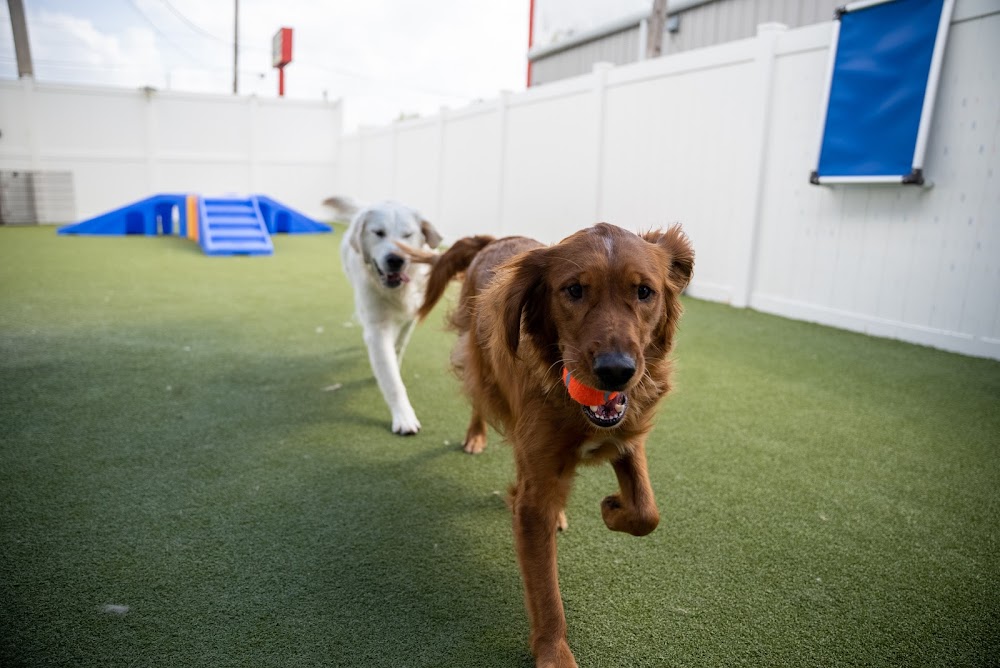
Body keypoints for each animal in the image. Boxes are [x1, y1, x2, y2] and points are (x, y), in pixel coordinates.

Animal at [324, 196, 442, 436]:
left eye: (407, 235)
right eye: (378, 232)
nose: (396, 259)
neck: (396, 291)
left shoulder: (411, 317)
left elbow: (398, 346)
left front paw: (395, 358)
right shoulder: (378, 329)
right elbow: (392, 380)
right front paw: (404, 416)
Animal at [418, 224, 692, 668]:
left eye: (644, 292)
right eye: (574, 290)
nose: (616, 371)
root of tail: (495, 239)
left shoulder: (627, 436)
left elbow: (647, 513)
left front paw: (613, 508)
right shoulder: (535, 493)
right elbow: (546, 591)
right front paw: (554, 652)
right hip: (483, 371)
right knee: (479, 400)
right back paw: (476, 436)